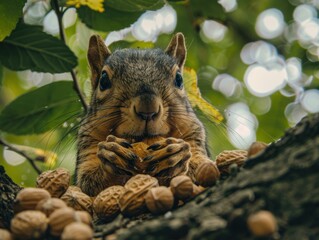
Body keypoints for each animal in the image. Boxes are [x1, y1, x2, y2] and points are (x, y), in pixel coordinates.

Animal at [75, 32, 220, 197]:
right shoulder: (89, 141)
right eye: (103, 80)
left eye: (179, 79)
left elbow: (204, 169)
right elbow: (88, 184)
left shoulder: (194, 135)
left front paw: (177, 154)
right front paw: (111, 154)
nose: (147, 110)